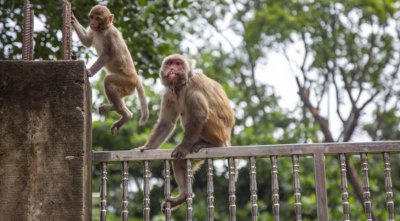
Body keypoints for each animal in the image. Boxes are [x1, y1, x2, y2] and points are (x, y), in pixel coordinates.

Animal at [71, 4, 148, 133]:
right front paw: (72, 19)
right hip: (126, 89)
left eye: (98, 18)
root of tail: (136, 78)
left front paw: (89, 71)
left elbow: (106, 55)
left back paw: (122, 112)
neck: (102, 30)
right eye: (92, 17)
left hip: (127, 82)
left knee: (108, 80)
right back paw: (122, 111)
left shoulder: (109, 36)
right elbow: (87, 41)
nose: (92, 23)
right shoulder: (94, 31)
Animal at [139, 53, 236, 211]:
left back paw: (213, 144)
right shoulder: (169, 92)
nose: (172, 69)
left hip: (218, 130)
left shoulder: (192, 84)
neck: (181, 85)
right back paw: (183, 195)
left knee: (197, 104)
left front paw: (183, 147)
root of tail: (227, 136)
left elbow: (199, 115)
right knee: (179, 162)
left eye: (178, 63)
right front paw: (147, 147)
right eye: (170, 63)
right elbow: (166, 123)